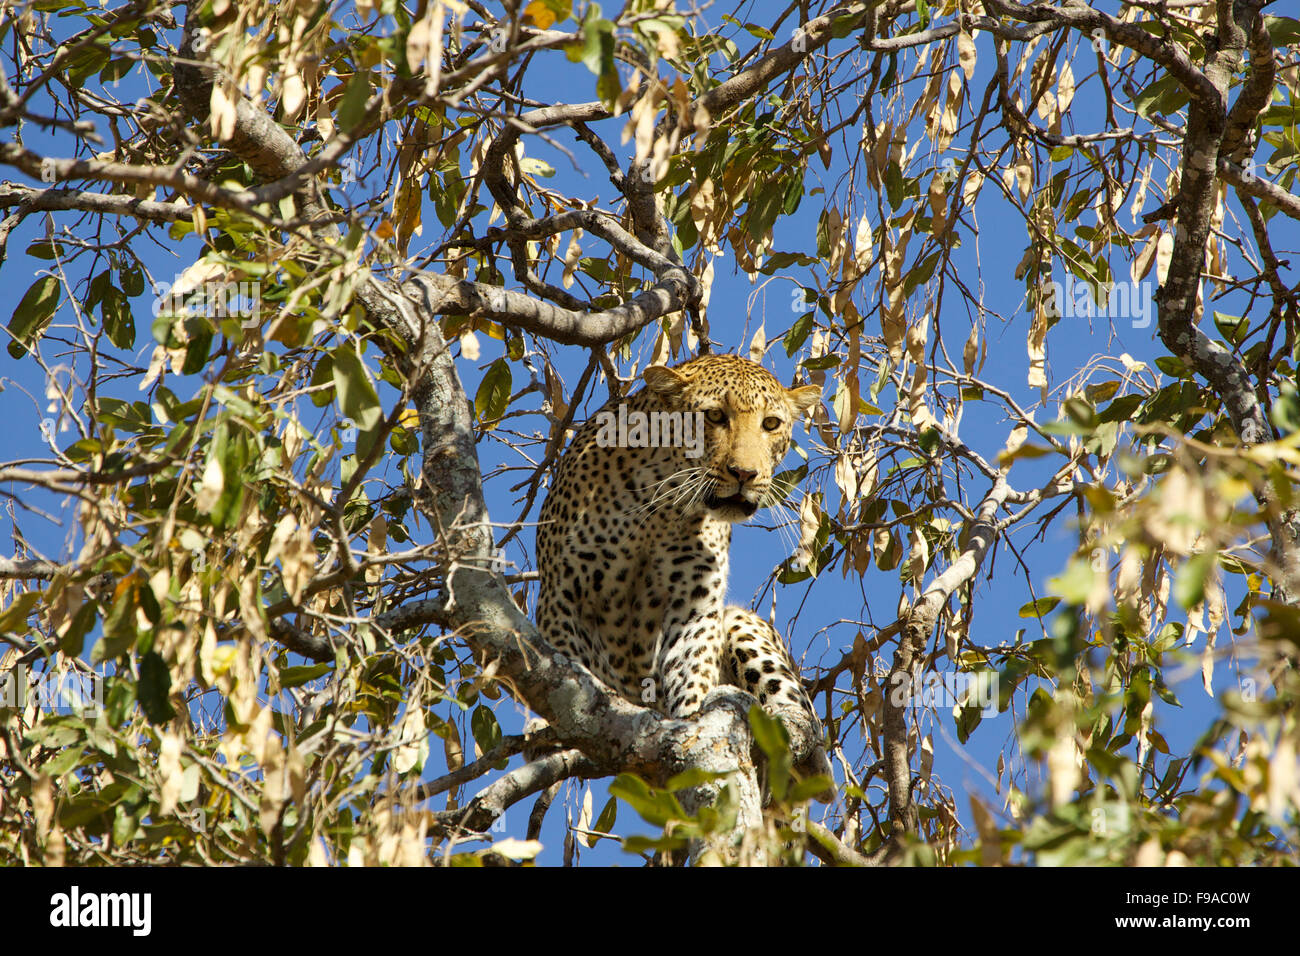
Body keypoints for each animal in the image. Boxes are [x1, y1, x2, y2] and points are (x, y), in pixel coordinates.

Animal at [533, 351, 826, 785]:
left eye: (771, 424)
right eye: (715, 416)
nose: (745, 474)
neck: (661, 504)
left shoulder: (693, 605)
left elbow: (692, 666)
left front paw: (692, 723)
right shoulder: (563, 594)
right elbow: (570, 671)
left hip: (744, 626)